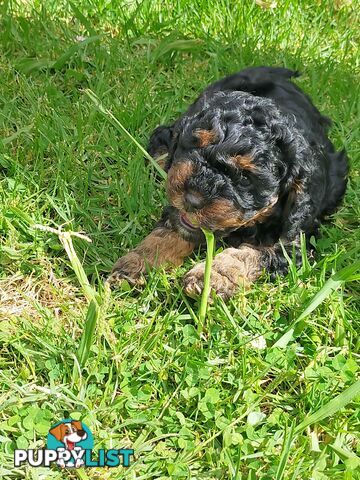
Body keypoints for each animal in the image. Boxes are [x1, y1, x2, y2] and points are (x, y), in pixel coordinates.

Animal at [107, 65, 348, 298]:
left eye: (245, 177)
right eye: (195, 144)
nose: (192, 199)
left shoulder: (296, 241)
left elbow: (253, 254)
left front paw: (214, 276)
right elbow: (170, 229)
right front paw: (137, 262)